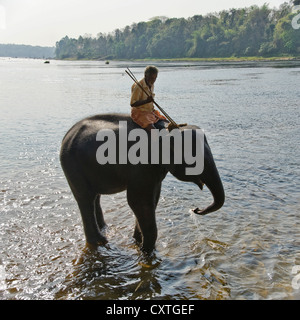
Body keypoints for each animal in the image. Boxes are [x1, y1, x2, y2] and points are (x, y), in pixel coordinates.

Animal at [60, 113, 225, 252]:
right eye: (193, 158)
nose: (196, 209)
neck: (165, 129)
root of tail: (68, 134)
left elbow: (153, 198)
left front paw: (138, 241)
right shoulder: (141, 166)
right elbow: (138, 201)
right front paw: (146, 250)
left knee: (95, 197)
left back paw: (104, 230)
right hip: (72, 165)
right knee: (85, 198)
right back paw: (100, 241)